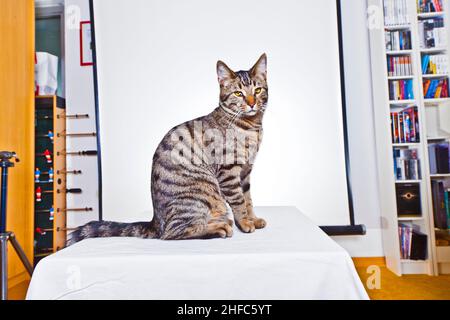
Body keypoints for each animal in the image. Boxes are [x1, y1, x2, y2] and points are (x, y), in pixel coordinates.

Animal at [67, 53, 268, 245]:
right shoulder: (228, 171)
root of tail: (155, 222)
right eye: (238, 93)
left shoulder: (245, 171)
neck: (251, 127)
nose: (252, 103)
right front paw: (245, 223)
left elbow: (248, 199)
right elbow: (239, 201)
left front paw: (253, 219)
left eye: (257, 90)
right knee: (172, 233)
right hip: (201, 194)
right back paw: (219, 228)